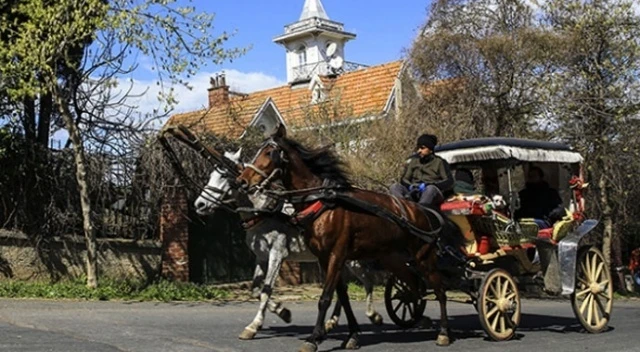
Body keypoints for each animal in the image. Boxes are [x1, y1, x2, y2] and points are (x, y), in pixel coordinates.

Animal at [190, 149, 380, 340]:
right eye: (211, 175)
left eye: (224, 176)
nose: (199, 204)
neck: (264, 212)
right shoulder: (261, 257)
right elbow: (256, 289)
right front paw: (283, 312)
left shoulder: (277, 254)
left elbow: (266, 290)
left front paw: (254, 325)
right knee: (344, 287)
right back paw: (331, 321)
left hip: (352, 259)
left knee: (367, 279)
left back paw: (373, 315)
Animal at [238, 125, 452, 350]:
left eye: (269, 152)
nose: (242, 180)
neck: (322, 202)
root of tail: (422, 211)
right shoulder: (325, 258)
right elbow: (342, 295)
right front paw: (352, 335)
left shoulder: (336, 255)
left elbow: (325, 297)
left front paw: (314, 338)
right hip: (393, 259)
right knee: (413, 287)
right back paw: (418, 316)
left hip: (424, 258)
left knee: (439, 289)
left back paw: (444, 331)